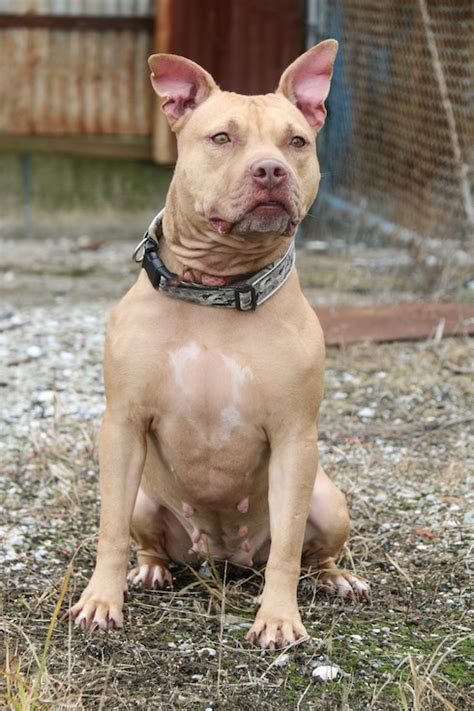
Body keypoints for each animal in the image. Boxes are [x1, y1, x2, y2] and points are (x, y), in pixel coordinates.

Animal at [67, 40, 370, 652]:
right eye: (222, 138)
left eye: (296, 142)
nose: (271, 169)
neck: (218, 290)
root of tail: (224, 556)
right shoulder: (122, 425)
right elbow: (108, 531)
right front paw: (101, 602)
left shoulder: (294, 436)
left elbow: (287, 551)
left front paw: (278, 618)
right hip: (144, 498)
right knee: (146, 540)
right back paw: (151, 570)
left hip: (327, 499)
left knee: (311, 554)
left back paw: (337, 579)